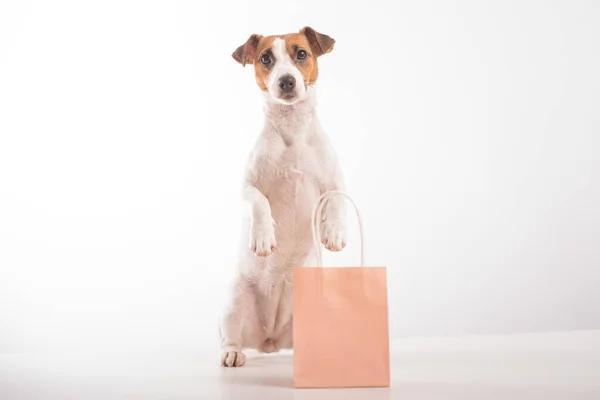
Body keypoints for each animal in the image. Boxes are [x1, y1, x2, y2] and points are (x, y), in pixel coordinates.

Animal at [219, 26, 346, 368]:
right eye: (266, 58)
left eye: (301, 53)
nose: (286, 81)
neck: (292, 128)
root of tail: (271, 340)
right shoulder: (246, 188)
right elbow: (258, 202)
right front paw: (264, 237)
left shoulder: (333, 182)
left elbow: (337, 200)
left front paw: (334, 232)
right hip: (234, 302)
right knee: (231, 337)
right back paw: (233, 352)